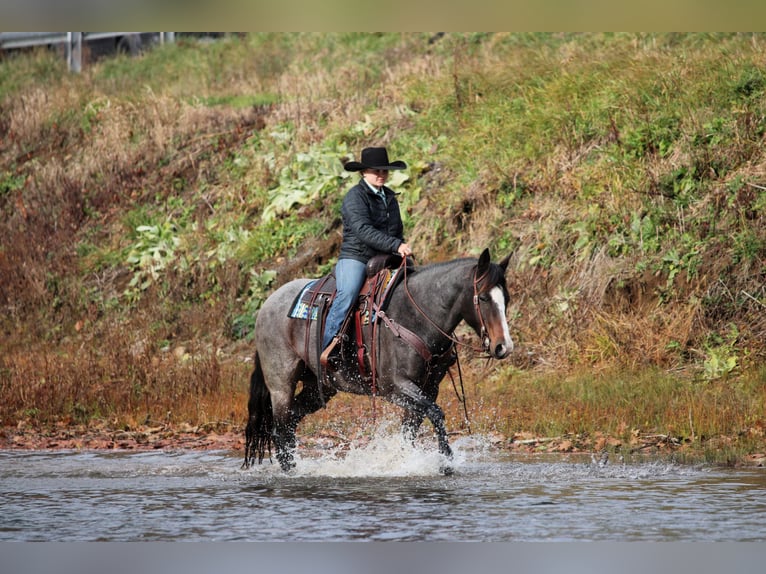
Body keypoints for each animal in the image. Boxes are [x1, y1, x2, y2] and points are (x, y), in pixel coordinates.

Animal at [242, 247, 513, 473]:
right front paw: (446, 462)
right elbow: (436, 414)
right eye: (484, 298)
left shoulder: (428, 388)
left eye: (506, 299)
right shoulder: (395, 387)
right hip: (280, 385)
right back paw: (290, 471)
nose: (504, 346)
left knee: (292, 421)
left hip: (319, 388)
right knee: (280, 427)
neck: (415, 315)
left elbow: (410, 430)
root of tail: (266, 305)